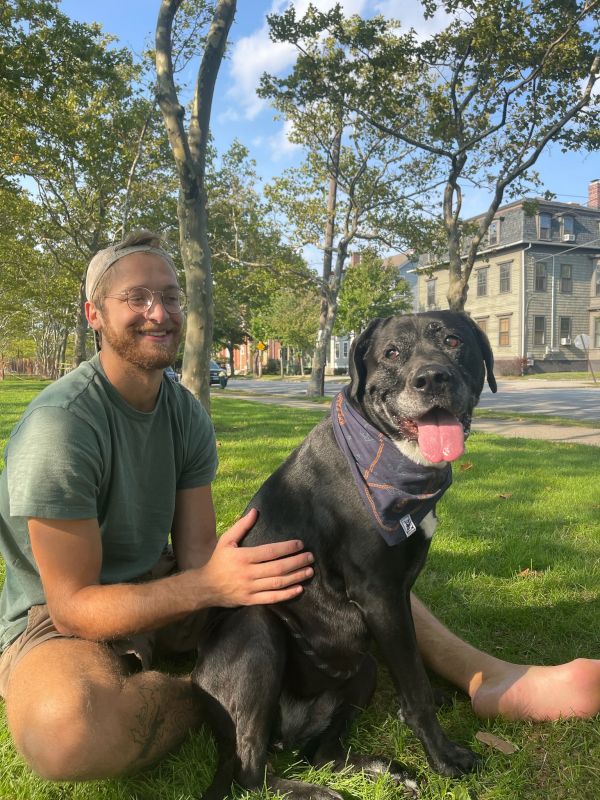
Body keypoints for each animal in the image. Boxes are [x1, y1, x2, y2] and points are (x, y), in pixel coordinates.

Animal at [192, 312, 496, 800]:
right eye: (392, 353)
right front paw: (445, 757)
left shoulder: (395, 599)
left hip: (360, 665)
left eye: (453, 341)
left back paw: (386, 769)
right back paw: (315, 790)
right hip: (257, 630)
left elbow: (412, 665)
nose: (432, 378)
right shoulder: (379, 594)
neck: (387, 451)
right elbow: (413, 686)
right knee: (250, 775)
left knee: (320, 753)